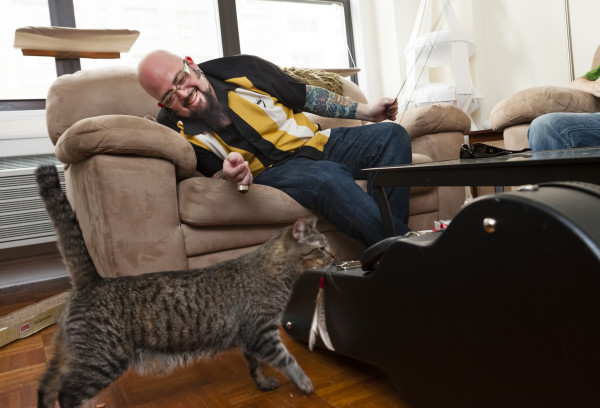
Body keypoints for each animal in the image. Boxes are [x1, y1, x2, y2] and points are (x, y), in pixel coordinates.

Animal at [35, 164, 336, 406]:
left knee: (45, 386)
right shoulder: (262, 332)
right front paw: (304, 383)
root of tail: (92, 280)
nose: (335, 256)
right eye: (322, 248)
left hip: (71, 354)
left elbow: (256, 366)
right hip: (102, 360)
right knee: (67, 394)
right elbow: (287, 359)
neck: (275, 271)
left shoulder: (251, 338)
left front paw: (263, 383)